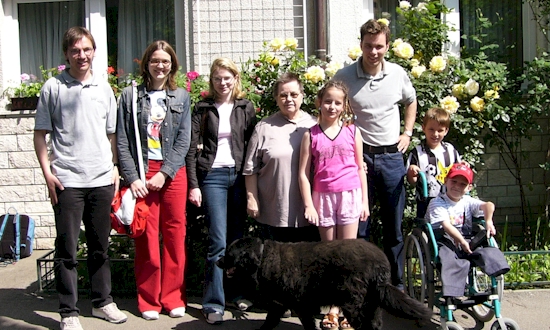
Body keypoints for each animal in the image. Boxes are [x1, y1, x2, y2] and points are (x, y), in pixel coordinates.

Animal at [218, 237, 434, 330]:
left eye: (229, 254)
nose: (217, 261)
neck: (263, 257)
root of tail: (380, 263)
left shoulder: (298, 305)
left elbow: (305, 324)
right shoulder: (281, 304)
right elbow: (271, 322)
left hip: (353, 304)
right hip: (372, 305)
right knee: (375, 325)